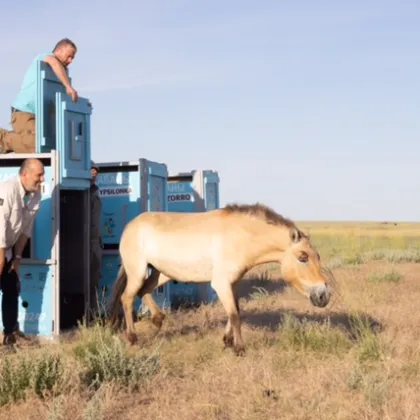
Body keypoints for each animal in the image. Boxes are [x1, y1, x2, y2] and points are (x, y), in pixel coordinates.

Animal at [110, 203, 332, 354]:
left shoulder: (233, 283)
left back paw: (157, 320)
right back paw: (132, 338)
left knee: (144, 291)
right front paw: (239, 348)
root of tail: (130, 225)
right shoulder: (221, 284)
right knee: (127, 298)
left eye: (318, 256)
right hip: (138, 272)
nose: (323, 296)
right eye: (302, 257)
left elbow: (236, 310)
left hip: (160, 273)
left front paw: (227, 340)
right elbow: (234, 313)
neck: (239, 236)